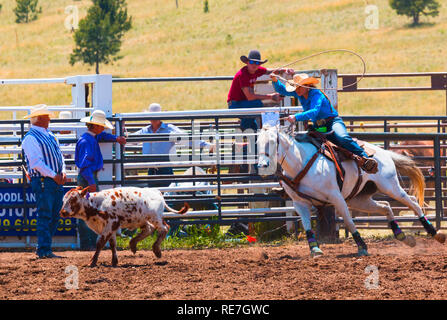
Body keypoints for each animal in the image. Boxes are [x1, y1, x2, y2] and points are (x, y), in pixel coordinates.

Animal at [60, 186, 189, 266]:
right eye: (63, 200)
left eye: (73, 199)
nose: (63, 212)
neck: (95, 204)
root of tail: (156, 192)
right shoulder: (111, 228)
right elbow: (112, 244)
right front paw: (114, 261)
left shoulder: (110, 224)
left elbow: (100, 243)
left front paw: (92, 262)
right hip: (141, 219)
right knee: (149, 229)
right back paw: (133, 244)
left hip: (155, 217)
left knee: (164, 228)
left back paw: (156, 249)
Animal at [258, 125, 446, 258]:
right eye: (257, 143)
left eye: (273, 142)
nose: (262, 166)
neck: (301, 162)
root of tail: (383, 152)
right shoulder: (300, 203)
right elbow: (306, 226)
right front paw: (315, 249)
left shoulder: (336, 197)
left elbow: (348, 221)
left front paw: (362, 246)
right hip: (359, 199)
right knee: (386, 206)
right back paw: (402, 236)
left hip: (390, 187)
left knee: (413, 203)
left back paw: (435, 233)